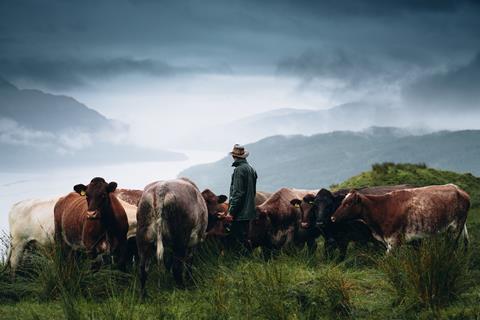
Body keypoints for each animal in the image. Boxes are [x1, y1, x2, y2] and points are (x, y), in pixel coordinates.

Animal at [332, 185, 470, 252]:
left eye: (348, 203)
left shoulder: (394, 241)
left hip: (456, 228)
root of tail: (458, 189)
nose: (332, 218)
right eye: (342, 202)